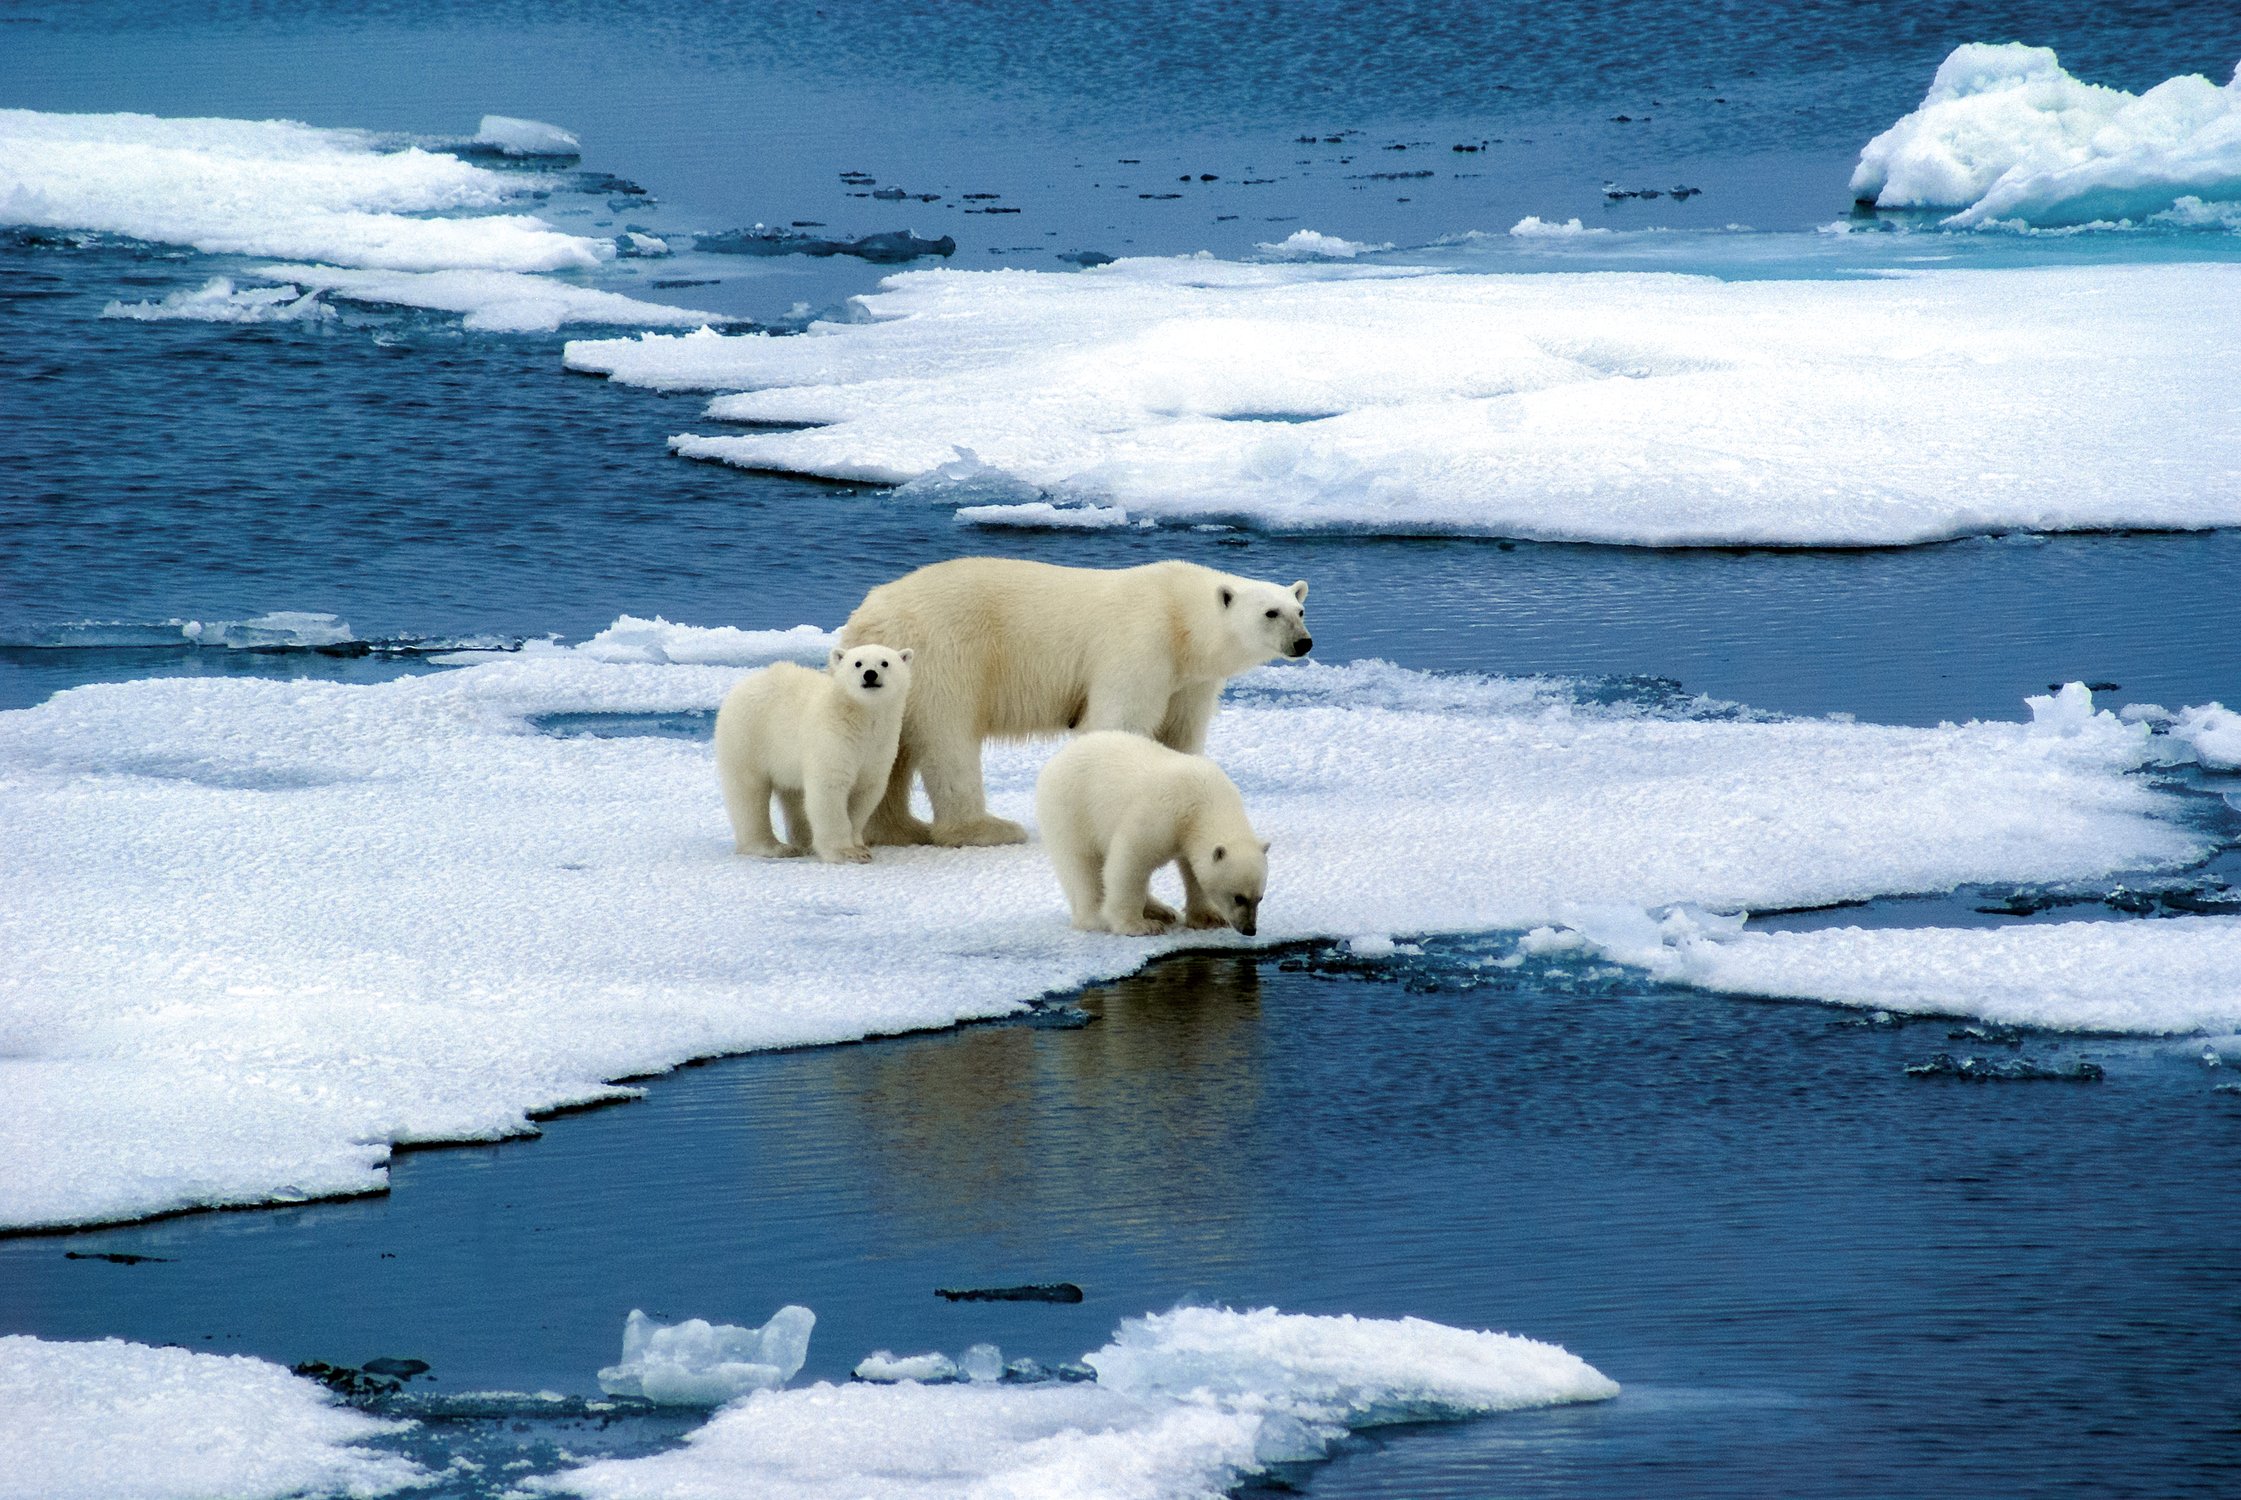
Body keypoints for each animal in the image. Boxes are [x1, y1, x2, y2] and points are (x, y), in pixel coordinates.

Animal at [833, 558, 1308, 843]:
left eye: (1299, 609)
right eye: (1270, 613)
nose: (1304, 642)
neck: (1179, 616)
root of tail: (865, 616)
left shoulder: (1189, 680)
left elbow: (1181, 734)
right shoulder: (1140, 643)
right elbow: (1118, 722)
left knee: (893, 750)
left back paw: (899, 828)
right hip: (943, 658)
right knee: (948, 739)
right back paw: (989, 828)